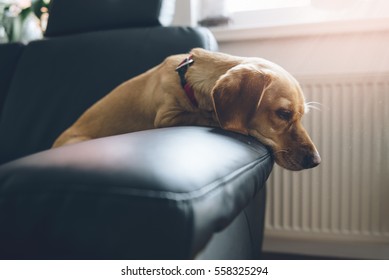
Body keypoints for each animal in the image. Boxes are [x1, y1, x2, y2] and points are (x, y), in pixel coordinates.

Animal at [52, 48, 318, 171]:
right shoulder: (167, 117)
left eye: (301, 116)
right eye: (283, 114)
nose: (316, 161)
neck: (187, 78)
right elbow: (203, 115)